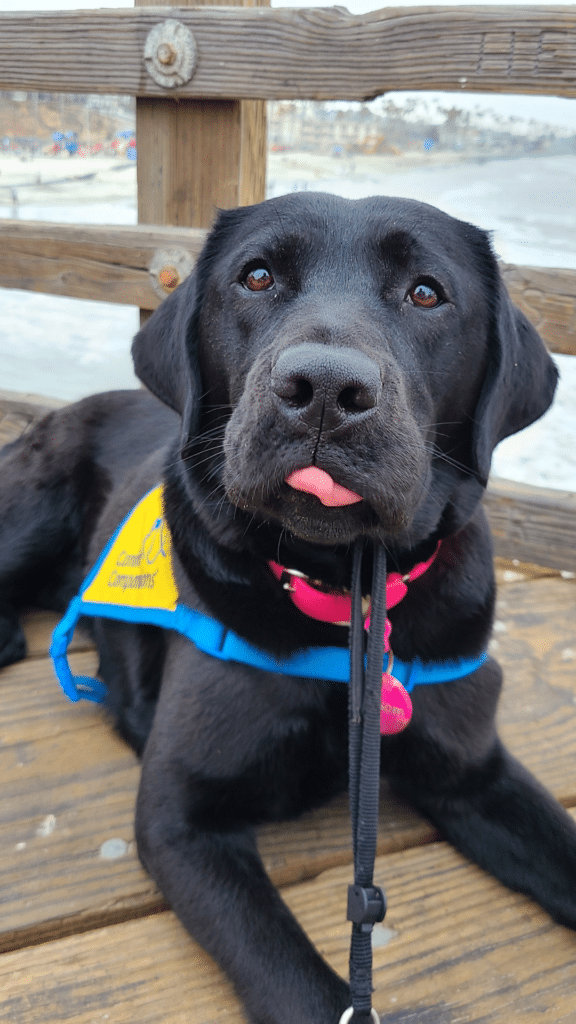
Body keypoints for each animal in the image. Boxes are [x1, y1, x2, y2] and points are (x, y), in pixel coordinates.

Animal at [0, 193, 569, 1024]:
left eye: (427, 292)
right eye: (257, 276)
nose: (325, 389)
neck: (340, 588)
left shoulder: (475, 772)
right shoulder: (182, 821)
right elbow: (294, 981)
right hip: (31, 513)